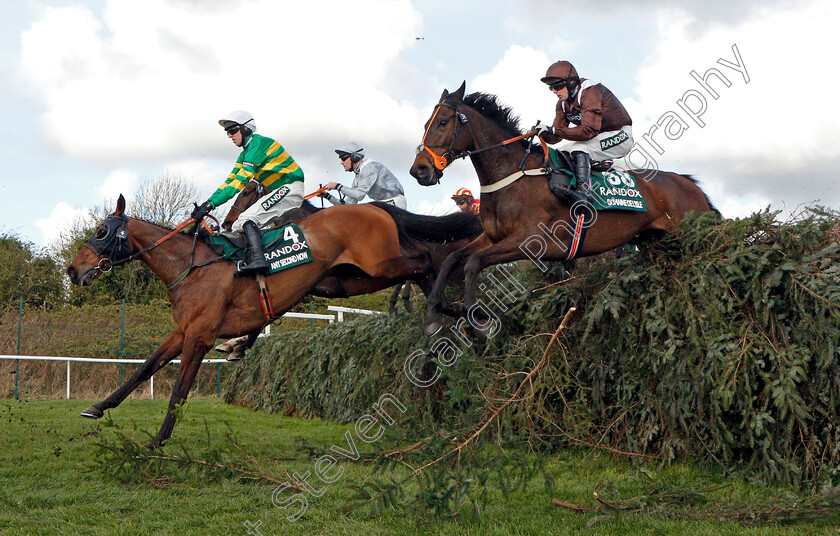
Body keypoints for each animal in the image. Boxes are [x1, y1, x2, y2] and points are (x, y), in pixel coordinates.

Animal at [68, 195, 480, 446]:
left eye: (101, 231)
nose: (73, 271)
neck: (193, 267)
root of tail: (375, 206)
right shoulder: (183, 330)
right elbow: (144, 368)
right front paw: (98, 407)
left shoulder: (199, 336)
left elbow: (179, 391)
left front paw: (157, 441)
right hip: (355, 278)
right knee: (422, 263)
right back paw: (453, 309)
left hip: (379, 264)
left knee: (426, 258)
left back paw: (444, 307)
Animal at [410, 81, 720, 336]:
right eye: (425, 123)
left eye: (443, 122)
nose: (419, 171)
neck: (512, 175)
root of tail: (690, 184)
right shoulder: (492, 236)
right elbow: (453, 259)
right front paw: (434, 314)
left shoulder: (531, 241)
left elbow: (473, 262)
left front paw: (478, 320)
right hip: (655, 241)